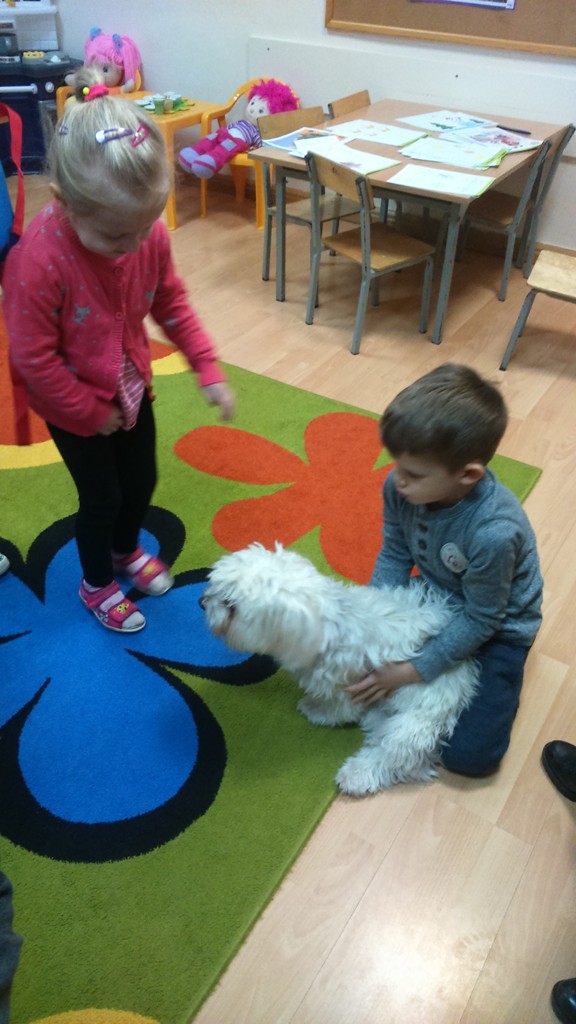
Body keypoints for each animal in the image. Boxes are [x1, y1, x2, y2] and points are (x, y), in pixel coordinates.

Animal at [201, 543, 479, 796]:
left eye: (230, 605)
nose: (202, 601)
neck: (329, 625)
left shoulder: (345, 684)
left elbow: (338, 709)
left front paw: (314, 709)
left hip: (414, 723)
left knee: (396, 756)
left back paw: (357, 775)